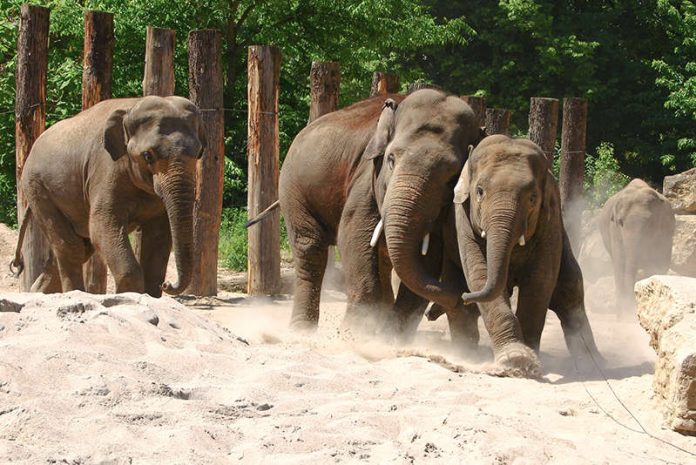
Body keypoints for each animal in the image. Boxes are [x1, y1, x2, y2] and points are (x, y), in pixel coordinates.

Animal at [11, 95, 204, 296]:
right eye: (147, 156)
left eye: (199, 152)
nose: (167, 285)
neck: (133, 105)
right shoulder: (105, 167)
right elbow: (101, 225)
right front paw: (129, 295)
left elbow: (158, 235)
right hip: (37, 189)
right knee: (71, 247)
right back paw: (75, 293)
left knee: (72, 251)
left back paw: (37, 292)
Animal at [278, 88, 484, 330]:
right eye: (391, 159)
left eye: (453, 178)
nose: (462, 297)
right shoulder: (368, 175)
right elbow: (354, 233)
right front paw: (355, 332)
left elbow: (429, 256)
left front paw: (389, 334)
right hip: (294, 189)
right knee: (310, 248)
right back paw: (302, 330)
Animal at [426, 135, 600, 376]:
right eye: (479, 191)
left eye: (533, 198)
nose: (466, 295)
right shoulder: (462, 218)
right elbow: (479, 273)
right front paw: (515, 360)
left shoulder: (551, 218)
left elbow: (540, 280)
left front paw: (528, 361)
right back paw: (466, 353)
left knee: (569, 291)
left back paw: (593, 364)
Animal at [600, 179, 676, 314]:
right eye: (620, 222)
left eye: (649, 223)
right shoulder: (614, 229)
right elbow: (620, 263)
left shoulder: (665, 232)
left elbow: (659, 265)